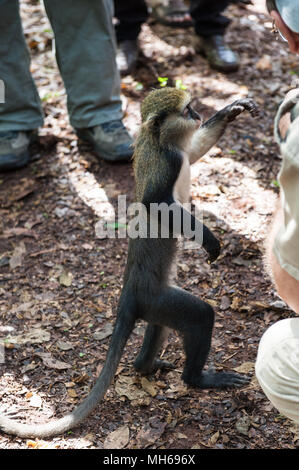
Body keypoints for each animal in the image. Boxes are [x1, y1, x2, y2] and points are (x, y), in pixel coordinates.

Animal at [0, 86, 258, 438]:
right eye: (187, 109)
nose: (197, 115)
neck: (158, 141)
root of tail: (127, 296)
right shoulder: (169, 163)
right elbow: (155, 202)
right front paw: (209, 239)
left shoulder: (181, 152)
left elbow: (195, 150)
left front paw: (233, 109)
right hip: (158, 299)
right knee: (200, 316)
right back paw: (197, 379)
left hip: (156, 305)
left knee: (158, 327)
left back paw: (144, 366)